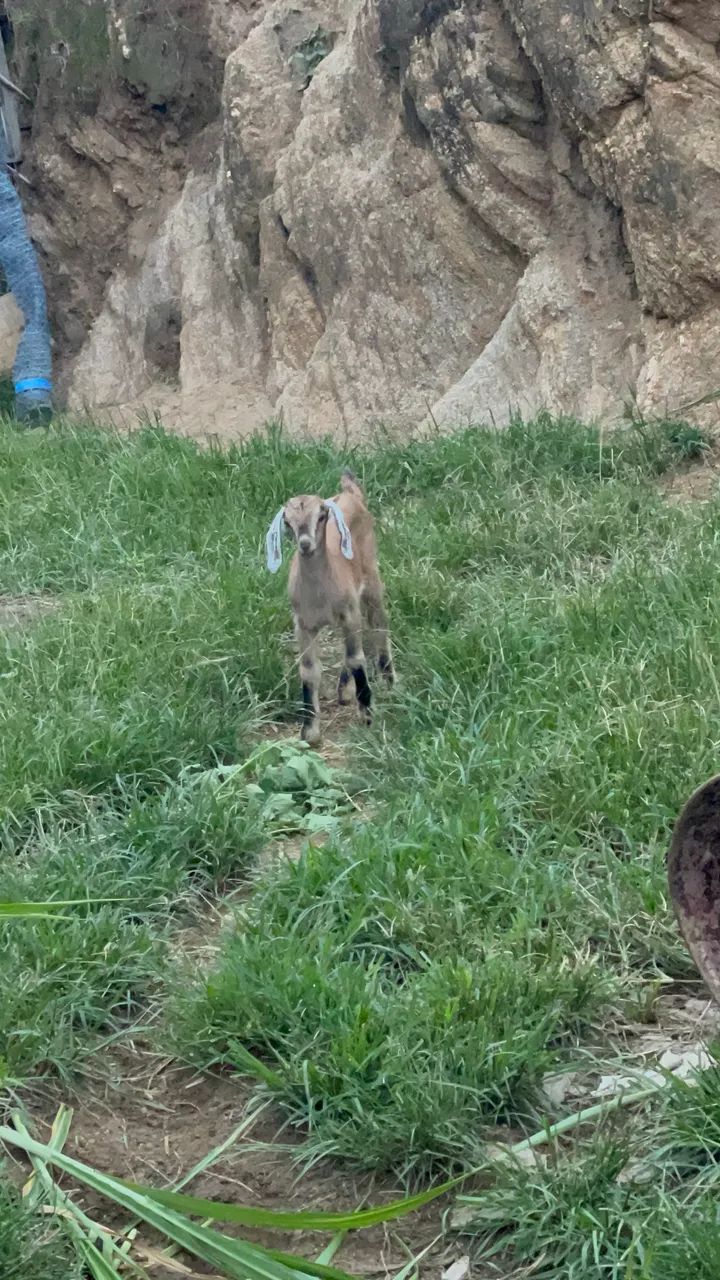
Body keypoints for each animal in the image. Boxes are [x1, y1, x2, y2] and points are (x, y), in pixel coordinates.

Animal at [266, 471, 394, 744]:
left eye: (321, 515)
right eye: (288, 521)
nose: (305, 544)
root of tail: (350, 493)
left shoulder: (349, 614)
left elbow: (356, 659)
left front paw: (367, 714)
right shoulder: (302, 624)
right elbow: (308, 670)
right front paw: (310, 731)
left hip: (371, 580)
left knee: (378, 624)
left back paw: (389, 681)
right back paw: (345, 690)